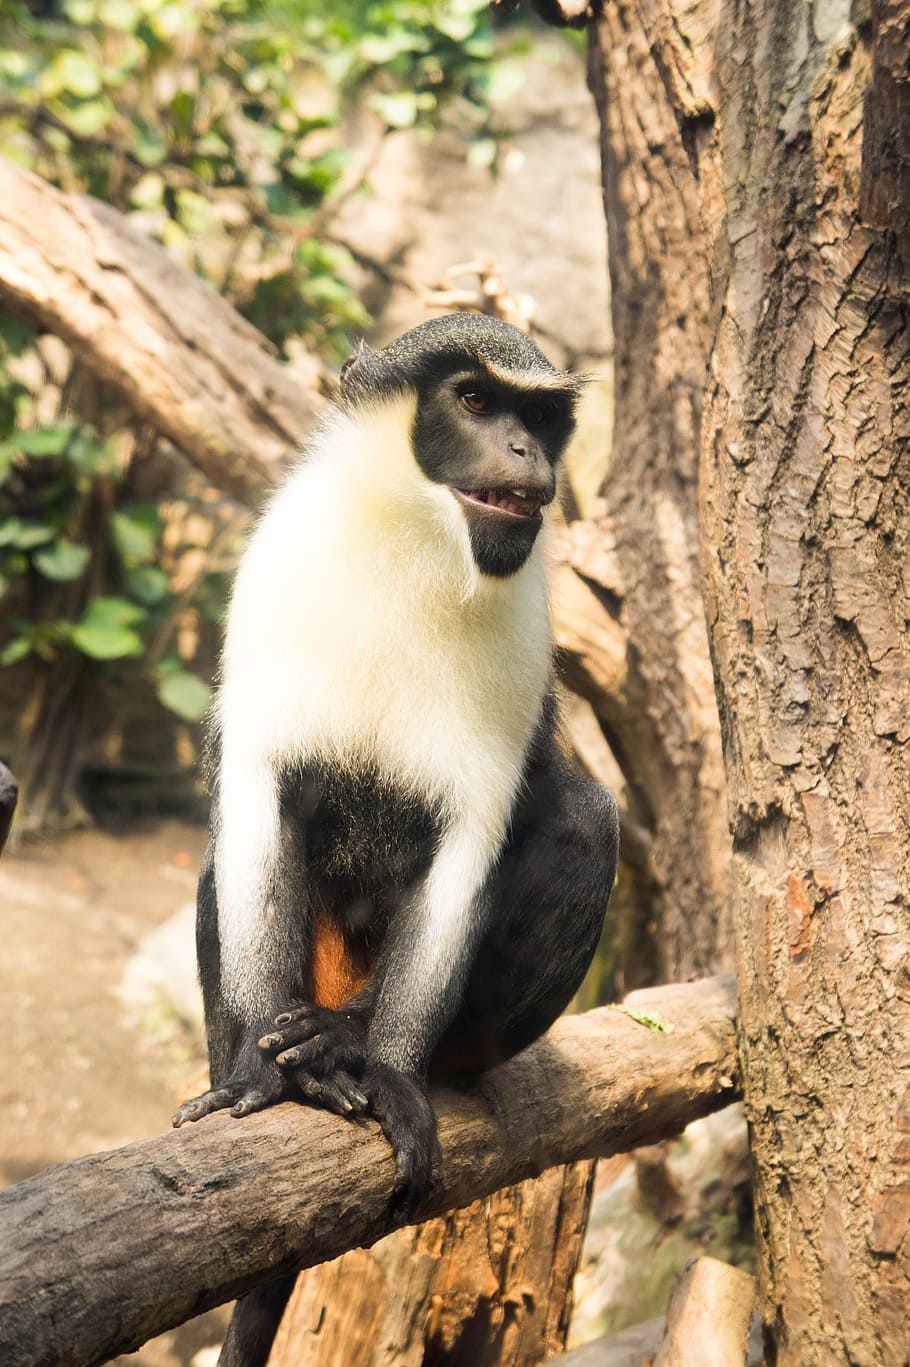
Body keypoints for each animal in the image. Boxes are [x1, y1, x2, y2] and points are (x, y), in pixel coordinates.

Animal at [172, 313, 619, 1362]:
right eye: (476, 400)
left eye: (544, 416)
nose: (528, 453)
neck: (411, 550)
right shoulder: (272, 585)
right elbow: (254, 805)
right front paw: (260, 1077)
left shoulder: (522, 647)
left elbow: (468, 850)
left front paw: (383, 1070)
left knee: (589, 820)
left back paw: (341, 1039)